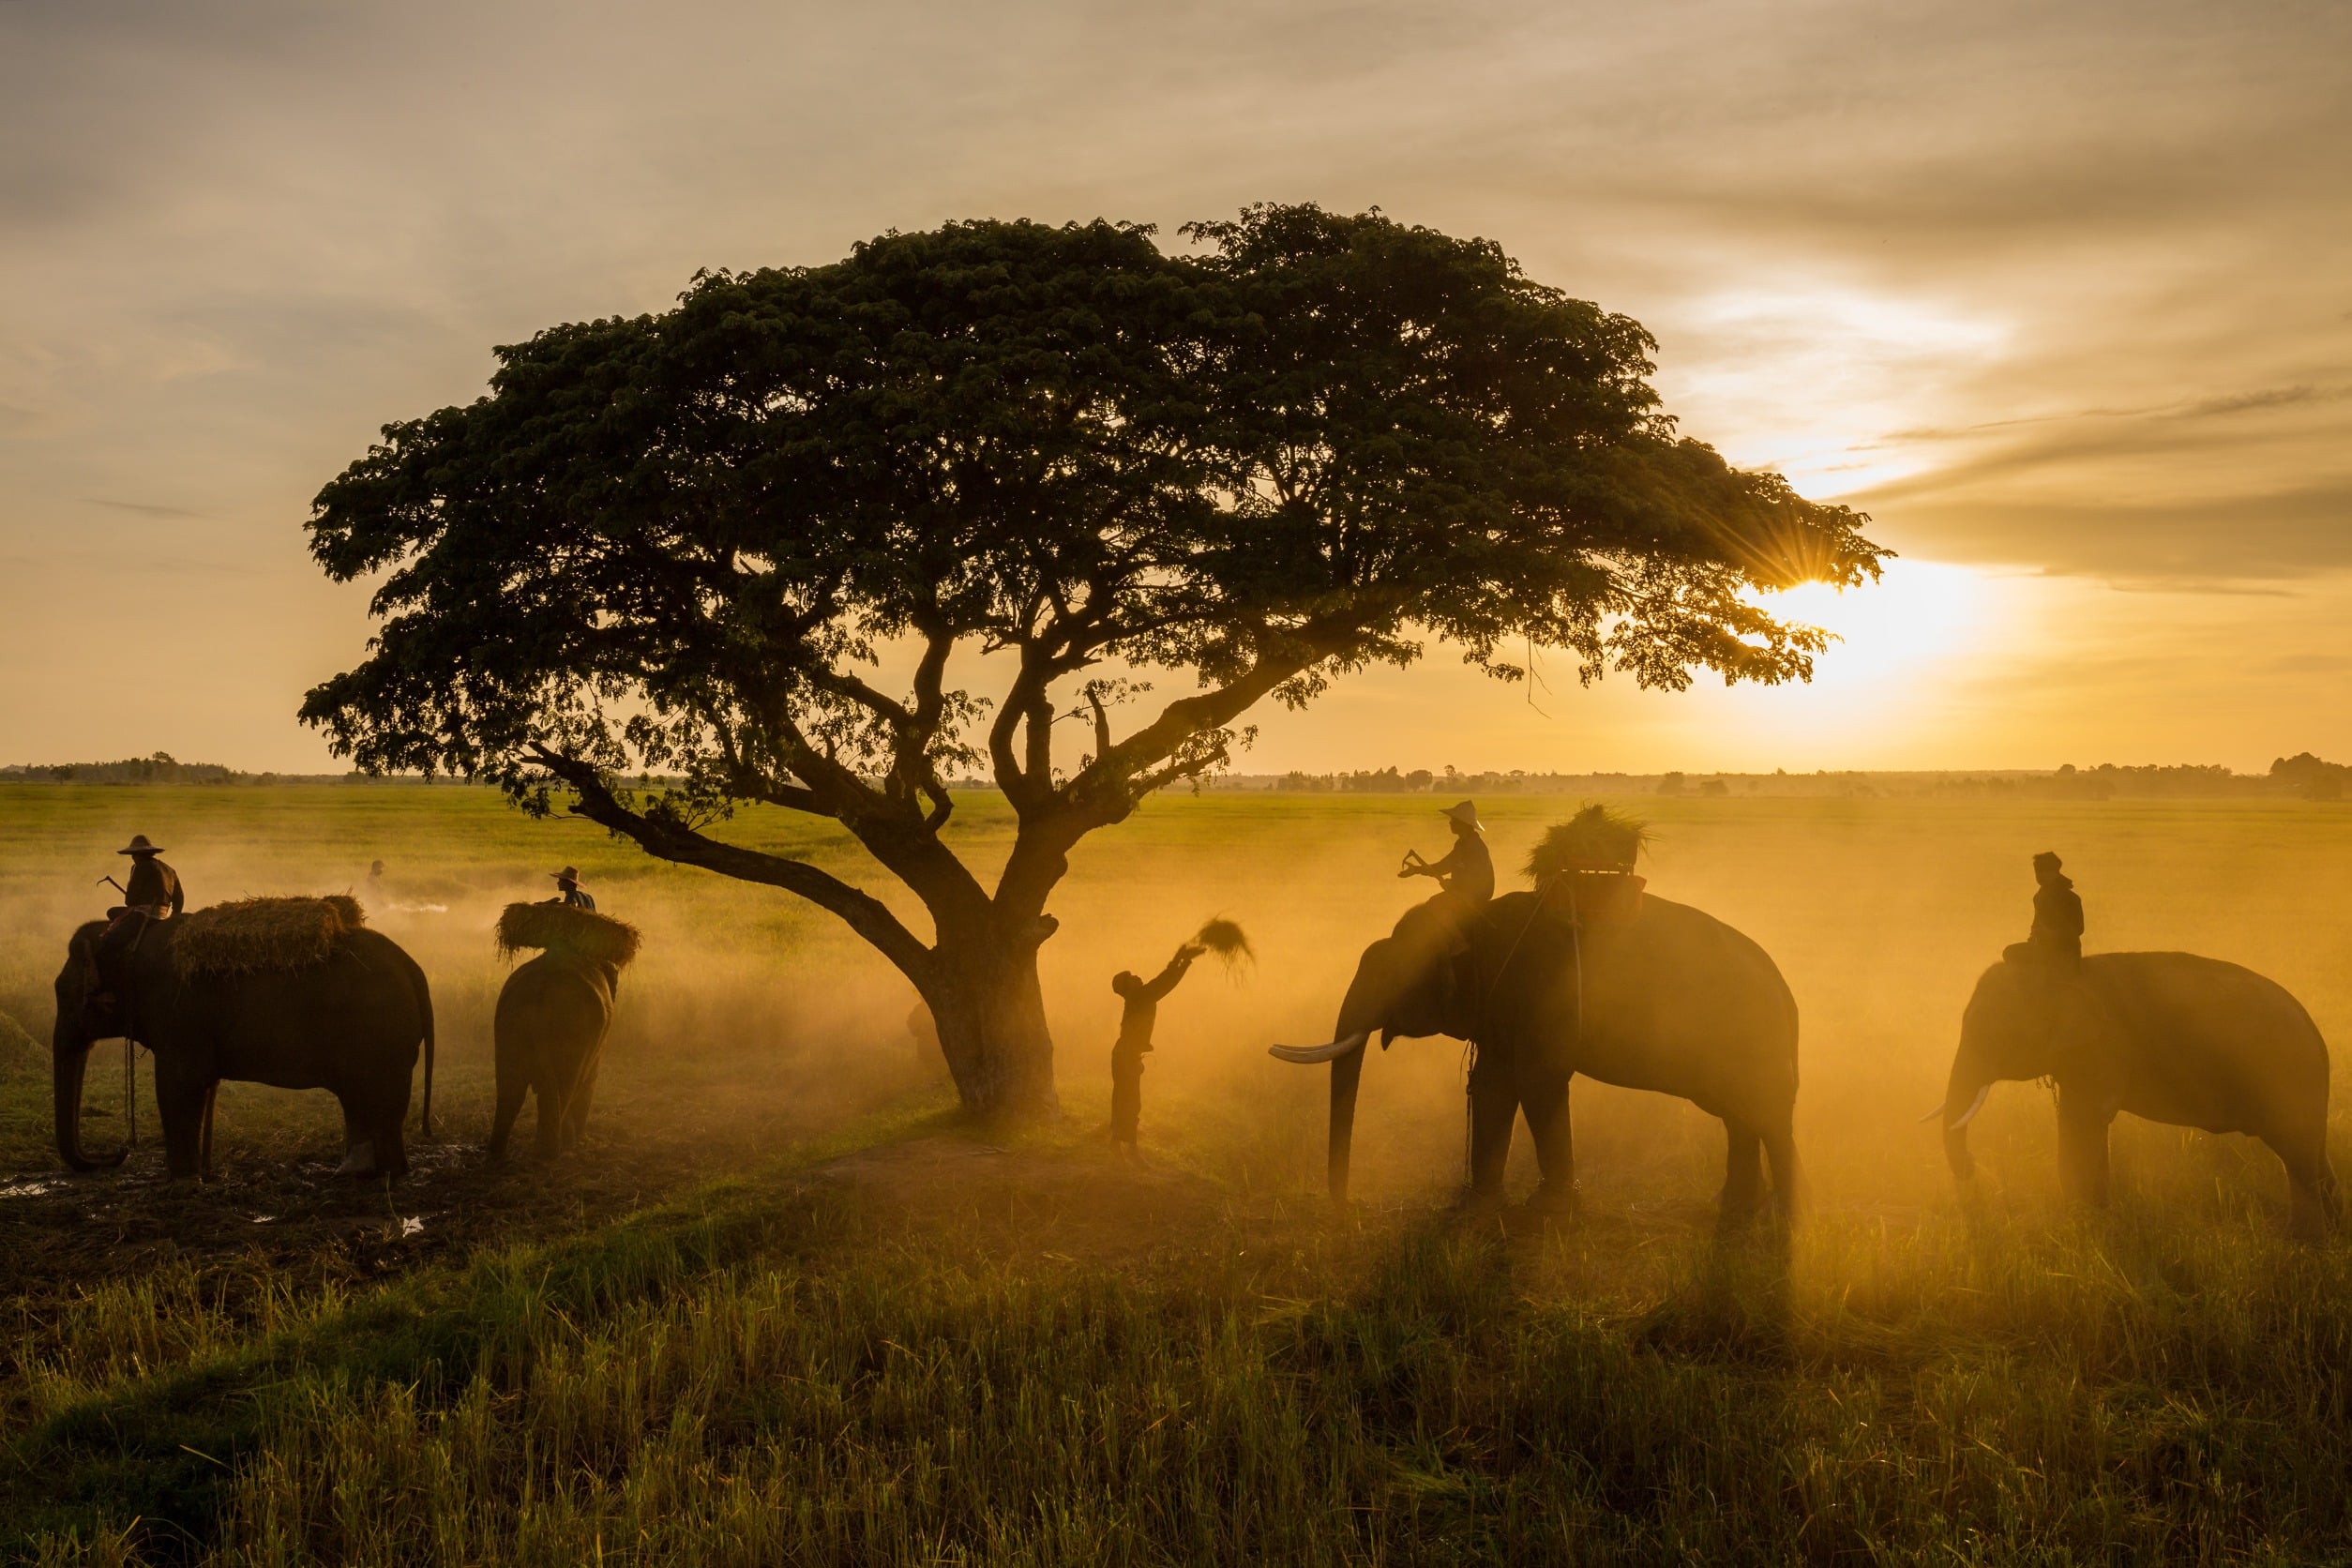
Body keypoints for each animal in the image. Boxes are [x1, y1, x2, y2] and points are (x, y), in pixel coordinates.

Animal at [53, 907, 434, 1175]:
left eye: (62, 992)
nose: (119, 1152)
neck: (127, 938)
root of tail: (414, 968)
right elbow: (199, 1082)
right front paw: (200, 1172)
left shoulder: (179, 1013)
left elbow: (179, 1084)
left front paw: (182, 1177)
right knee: (362, 1101)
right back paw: (360, 1172)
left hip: (380, 1037)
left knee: (376, 1099)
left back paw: (382, 1173)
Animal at [487, 902, 640, 1161]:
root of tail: (540, 994)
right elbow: (588, 1082)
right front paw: (579, 1142)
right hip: (572, 1028)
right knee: (562, 1087)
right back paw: (551, 1153)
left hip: (509, 1027)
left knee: (511, 1091)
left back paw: (497, 1155)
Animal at [1270, 888, 1797, 1231]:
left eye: (1396, 974)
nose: (1350, 1207)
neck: (1474, 923)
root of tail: (1787, 990)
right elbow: (1492, 1084)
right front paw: (1477, 1209)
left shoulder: (1542, 995)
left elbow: (1538, 1081)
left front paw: (1547, 1211)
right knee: (1738, 1118)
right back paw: (1733, 1209)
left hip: (1758, 1044)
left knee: (1767, 1119)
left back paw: (1782, 1218)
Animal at [1937, 949, 2342, 1241]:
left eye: (1995, 1035)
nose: (1973, 1167)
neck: (2064, 972)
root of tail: (2312, 1028)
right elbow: (2086, 1124)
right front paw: (2097, 1220)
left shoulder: (2105, 1047)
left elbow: (2084, 1120)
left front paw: (2080, 1228)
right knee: (2314, 1154)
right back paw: (2332, 1235)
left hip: (2285, 1077)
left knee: (2297, 1157)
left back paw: (2302, 1244)